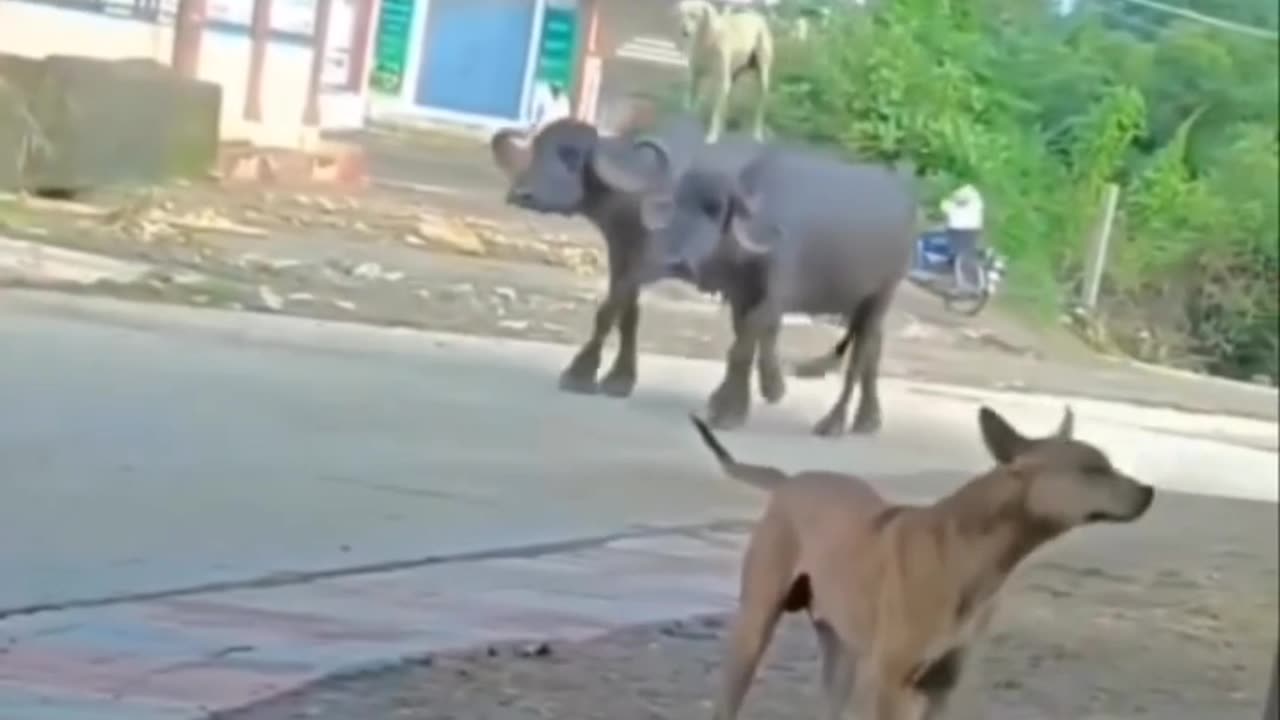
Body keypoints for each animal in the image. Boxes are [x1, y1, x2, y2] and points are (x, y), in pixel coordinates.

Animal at [634, 144, 916, 430]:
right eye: (676, 201)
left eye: (716, 209)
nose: (675, 262)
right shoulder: (741, 295)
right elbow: (748, 338)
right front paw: (767, 389)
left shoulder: (774, 296)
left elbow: (743, 347)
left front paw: (729, 411)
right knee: (874, 352)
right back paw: (868, 419)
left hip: (881, 295)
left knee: (860, 356)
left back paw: (833, 422)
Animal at [675, 0, 773, 141]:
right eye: (682, 14)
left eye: (695, 15)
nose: (684, 32)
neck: (708, 40)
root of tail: (757, 17)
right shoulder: (695, 77)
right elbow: (689, 103)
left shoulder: (721, 82)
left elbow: (715, 113)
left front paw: (712, 136)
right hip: (733, 76)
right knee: (727, 102)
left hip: (762, 78)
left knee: (759, 108)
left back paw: (757, 133)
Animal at [696, 404, 1157, 717]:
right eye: (1092, 470)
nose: (1150, 490)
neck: (977, 555)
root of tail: (790, 479)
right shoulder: (893, 685)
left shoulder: (943, 688)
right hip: (754, 629)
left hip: (841, 652)